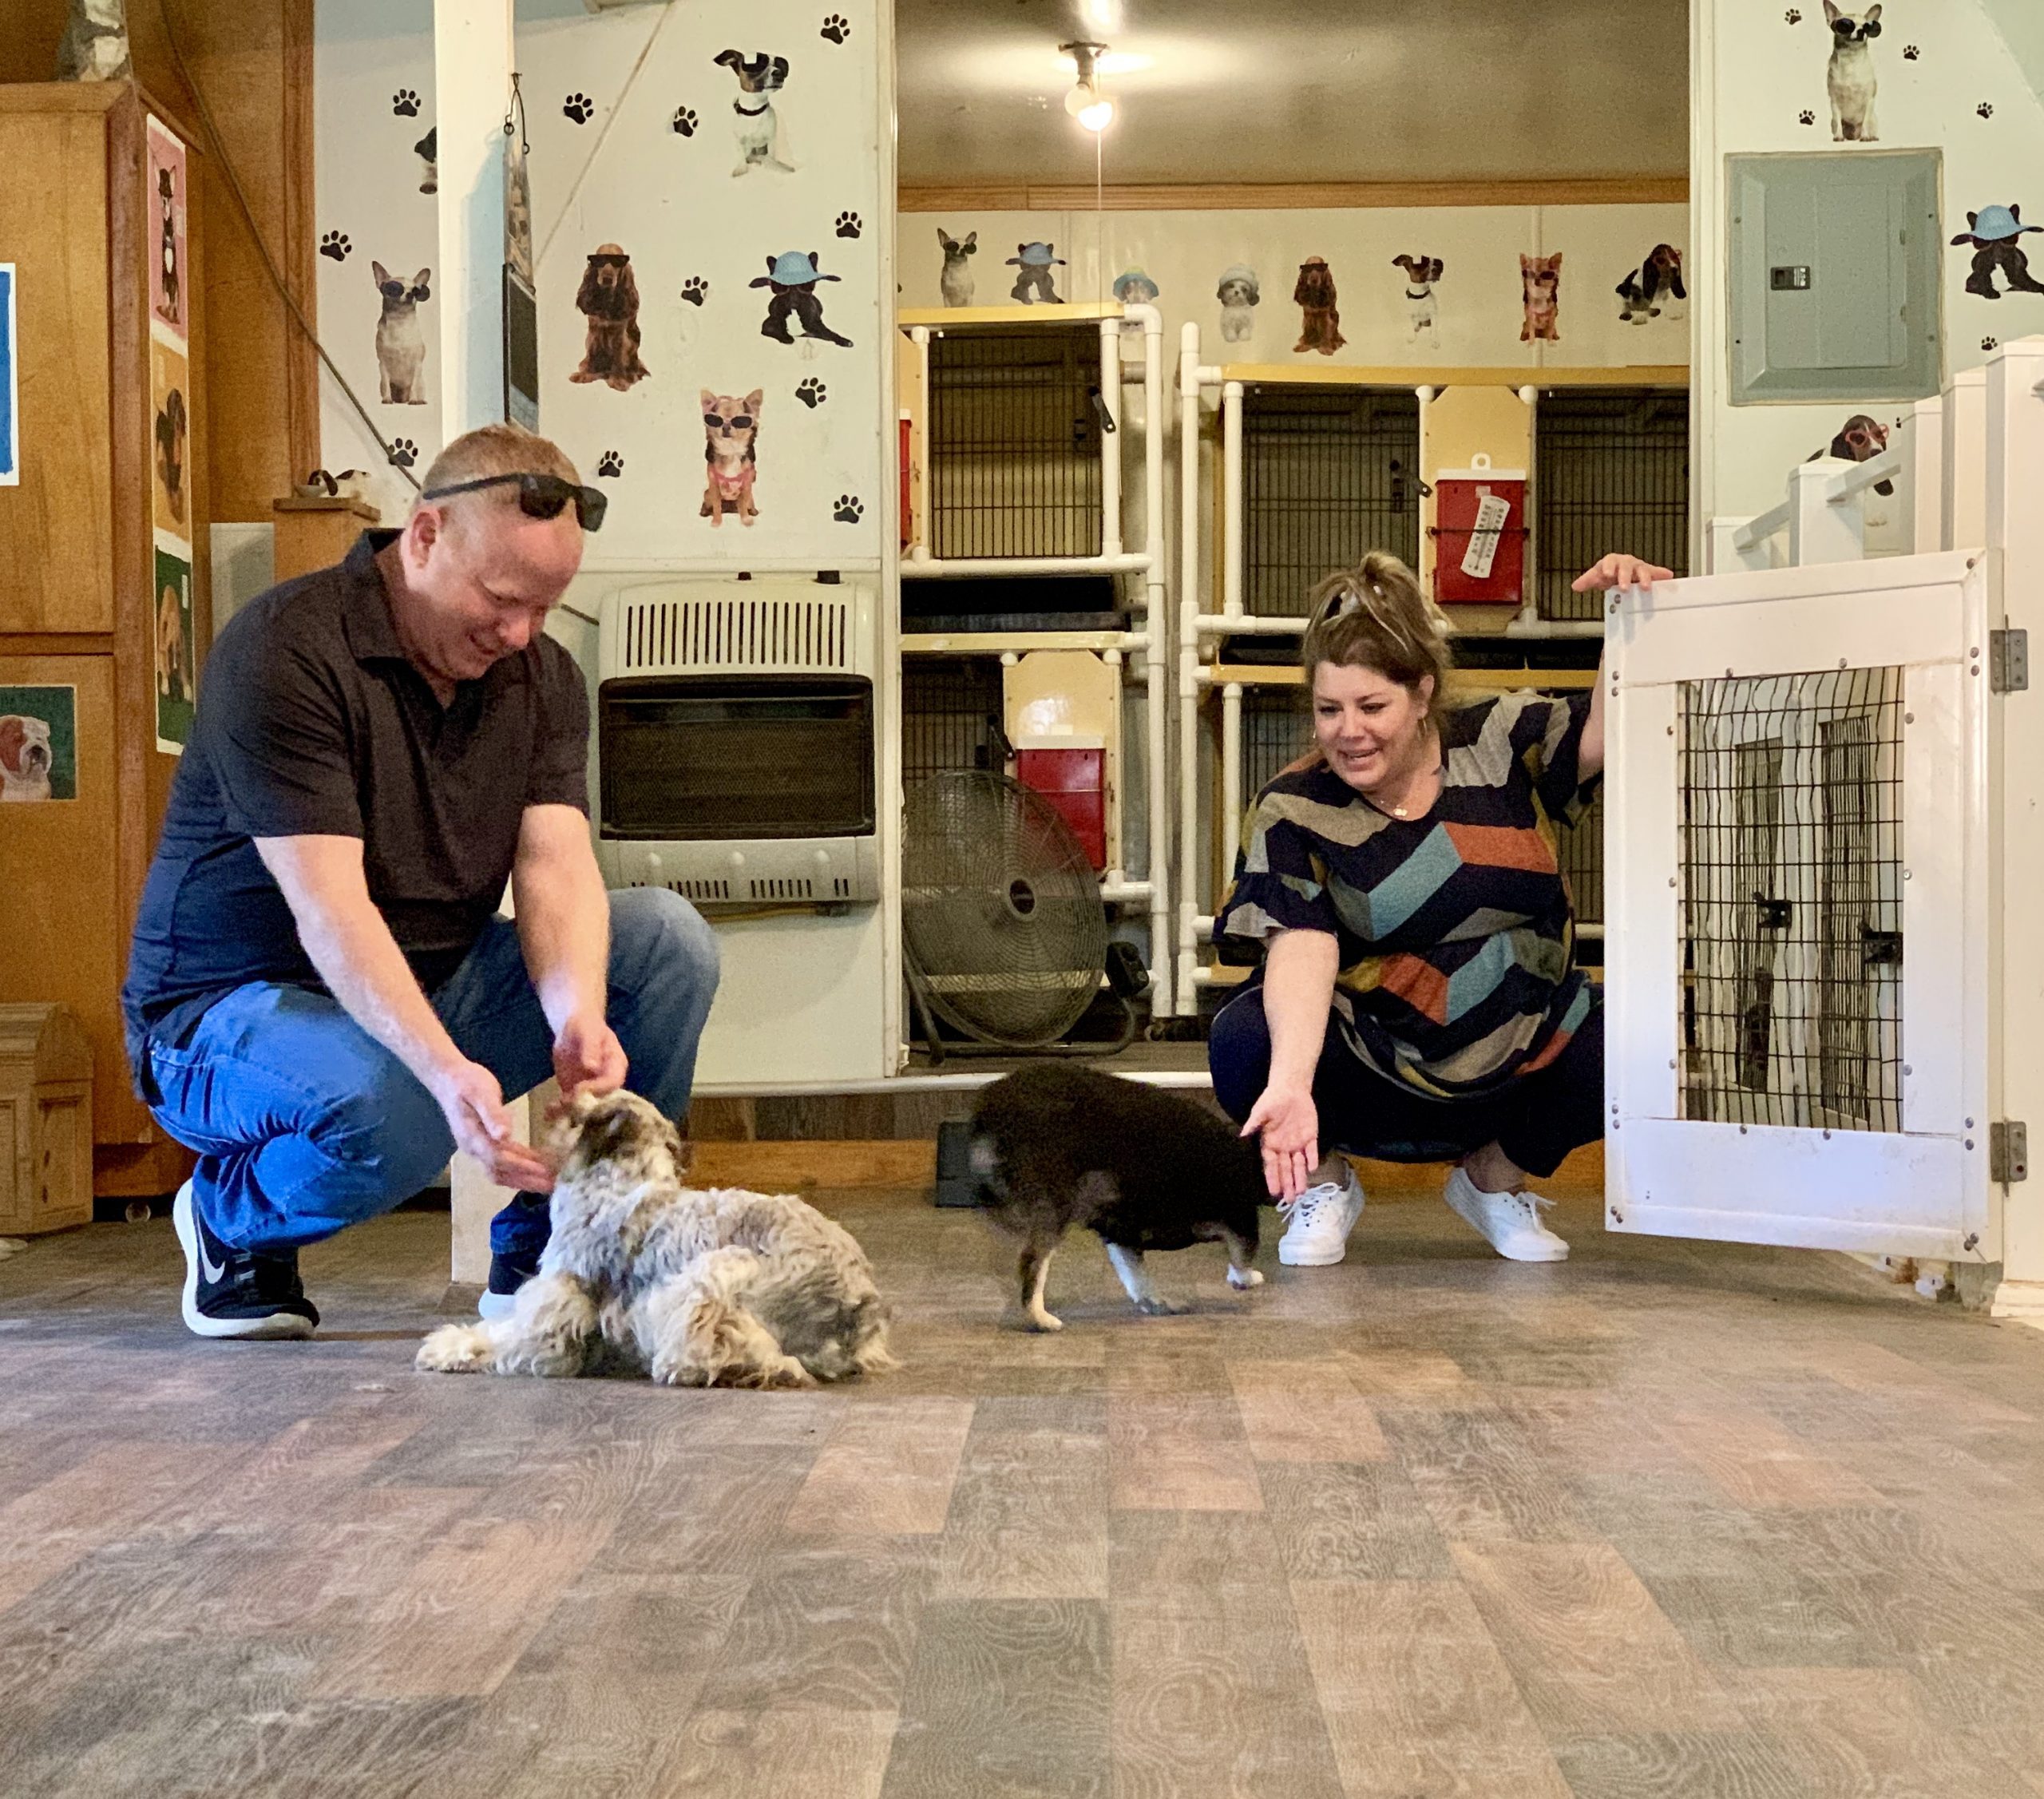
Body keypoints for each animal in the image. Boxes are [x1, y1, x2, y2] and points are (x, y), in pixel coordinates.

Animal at [414, 1079, 895, 1389]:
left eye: (571, 1115)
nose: (556, 1105)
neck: (620, 1179)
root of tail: (855, 1308)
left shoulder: (556, 1311)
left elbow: (504, 1339)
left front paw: (445, 1347)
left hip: (713, 1277)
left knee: (733, 1355)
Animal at [568, 244, 645, 392]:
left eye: (617, 263)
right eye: (600, 261)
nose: (607, 279)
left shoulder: (620, 335)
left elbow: (618, 358)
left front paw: (618, 381)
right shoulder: (594, 331)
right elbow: (592, 354)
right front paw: (585, 375)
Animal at [703, 390, 768, 531]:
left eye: (740, 421)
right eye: (716, 420)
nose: (726, 426)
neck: (730, 450)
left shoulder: (746, 487)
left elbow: (742, 505)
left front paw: (746, 521)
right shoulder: (714, 487)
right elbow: (717, 506)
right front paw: (716, 522)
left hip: (750, 497)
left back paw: (753, 512)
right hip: (707, 494)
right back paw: (705, 511)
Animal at [747, 254, 850, 349]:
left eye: (805, 285)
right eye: (781, 286)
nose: (794, 295)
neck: (794, 308)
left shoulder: (815, 325)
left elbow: (829, 333)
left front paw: (843, 340)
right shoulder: (769, 323)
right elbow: (776, 329)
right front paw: (786, 338)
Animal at [969, 1071, 1258, 1333]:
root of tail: (988, 1109)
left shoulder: (1121, 1229)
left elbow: (1136, 1274)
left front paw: (1156, 1303)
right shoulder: (1239, 1215)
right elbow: (1243, 1253)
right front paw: (1245, 1279)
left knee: (1011, 1257)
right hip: (1054, 1209)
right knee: (1031, 1261)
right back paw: (1040, 1319)